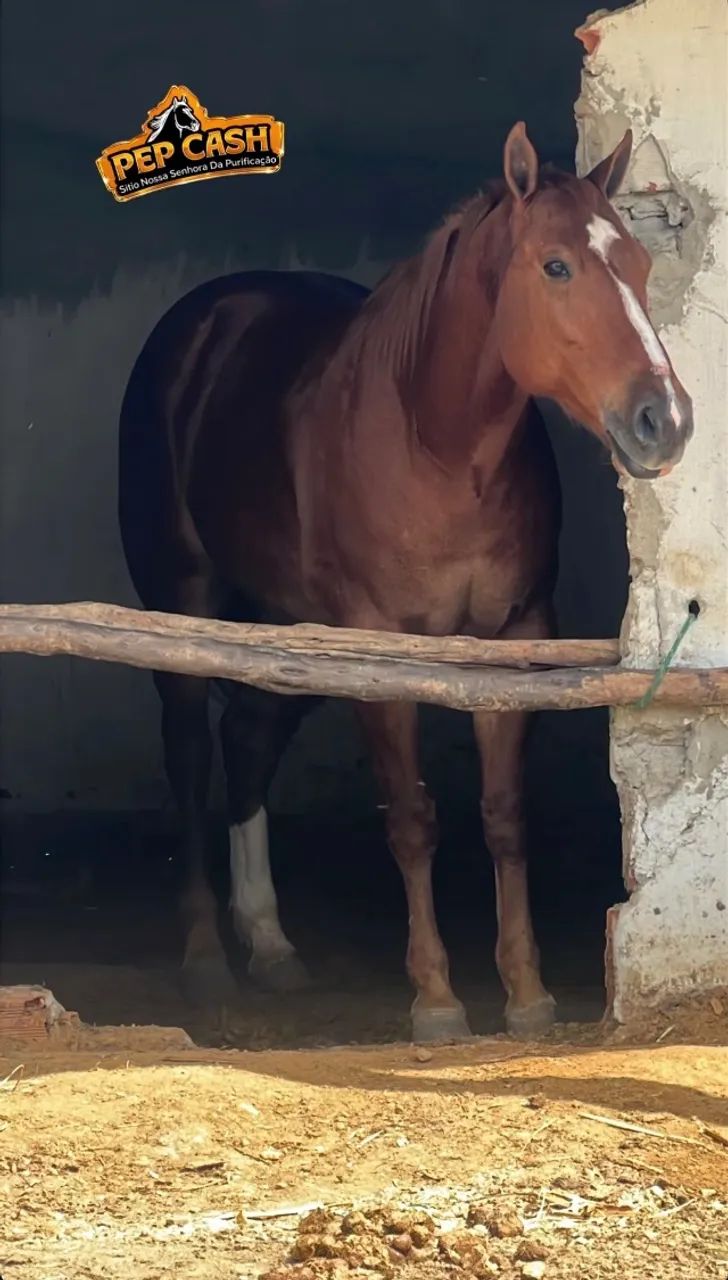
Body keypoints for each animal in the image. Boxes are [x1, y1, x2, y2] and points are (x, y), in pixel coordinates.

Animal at [119, 122, 692, 1042]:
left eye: (639, 263)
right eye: (556, 266)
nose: (664, 422)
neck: (438, 446)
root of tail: (202, 325)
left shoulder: (515, 641)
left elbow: (504, 815)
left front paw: (526, 991)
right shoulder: (380, 650)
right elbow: (413, 818)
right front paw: (436, 997)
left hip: (287, 634)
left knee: (247, 741)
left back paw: (269, 941)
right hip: (185, 606)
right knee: (192, 757)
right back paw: (207, 955)